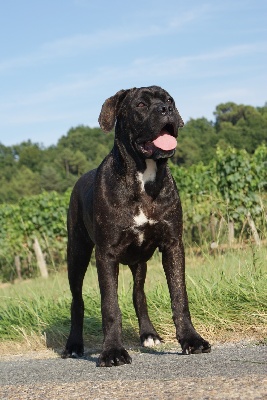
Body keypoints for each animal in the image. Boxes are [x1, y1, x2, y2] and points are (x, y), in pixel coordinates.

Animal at [62, 86, 211, 368]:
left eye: (169, 100)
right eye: (141, 104)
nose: (166, 110)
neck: (143, 177)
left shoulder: (173, 244)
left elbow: (179, 295)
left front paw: (191, 339)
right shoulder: (106, 254)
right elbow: (110, 305)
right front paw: (112, 351)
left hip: (139, 261)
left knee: (138, 294)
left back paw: (148, 334)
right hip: (77, 253)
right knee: (77, 300)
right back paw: (73, 345)